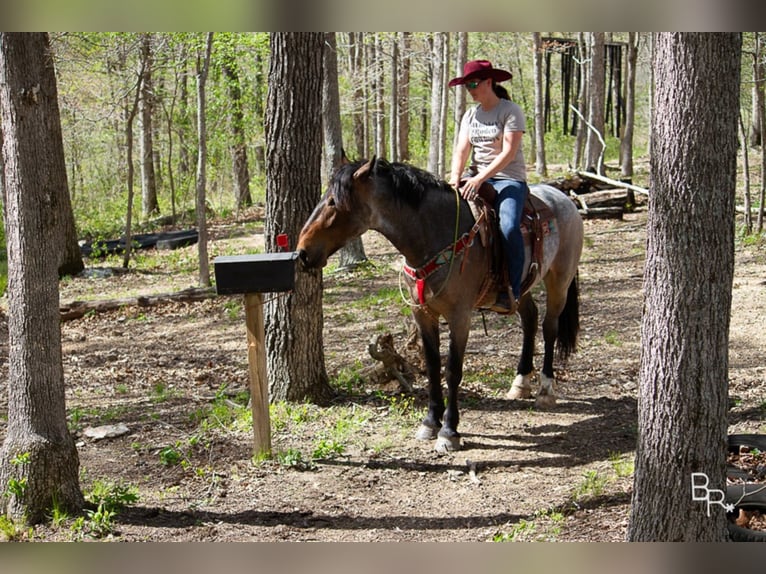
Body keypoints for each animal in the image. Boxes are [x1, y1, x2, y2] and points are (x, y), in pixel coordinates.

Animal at [296, 158, 584, 454]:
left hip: (559, 280)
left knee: (549, 327)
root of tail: (564, 198)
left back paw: (546, 390)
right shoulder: (423, 314)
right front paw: (430, 422)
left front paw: (449, 431)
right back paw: (520, 382)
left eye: (333, 202)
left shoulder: (460, 317)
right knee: (530, 318)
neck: (435, 235)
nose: (302, 252)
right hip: (521, 288)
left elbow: (452, 370)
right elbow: (433, 366)